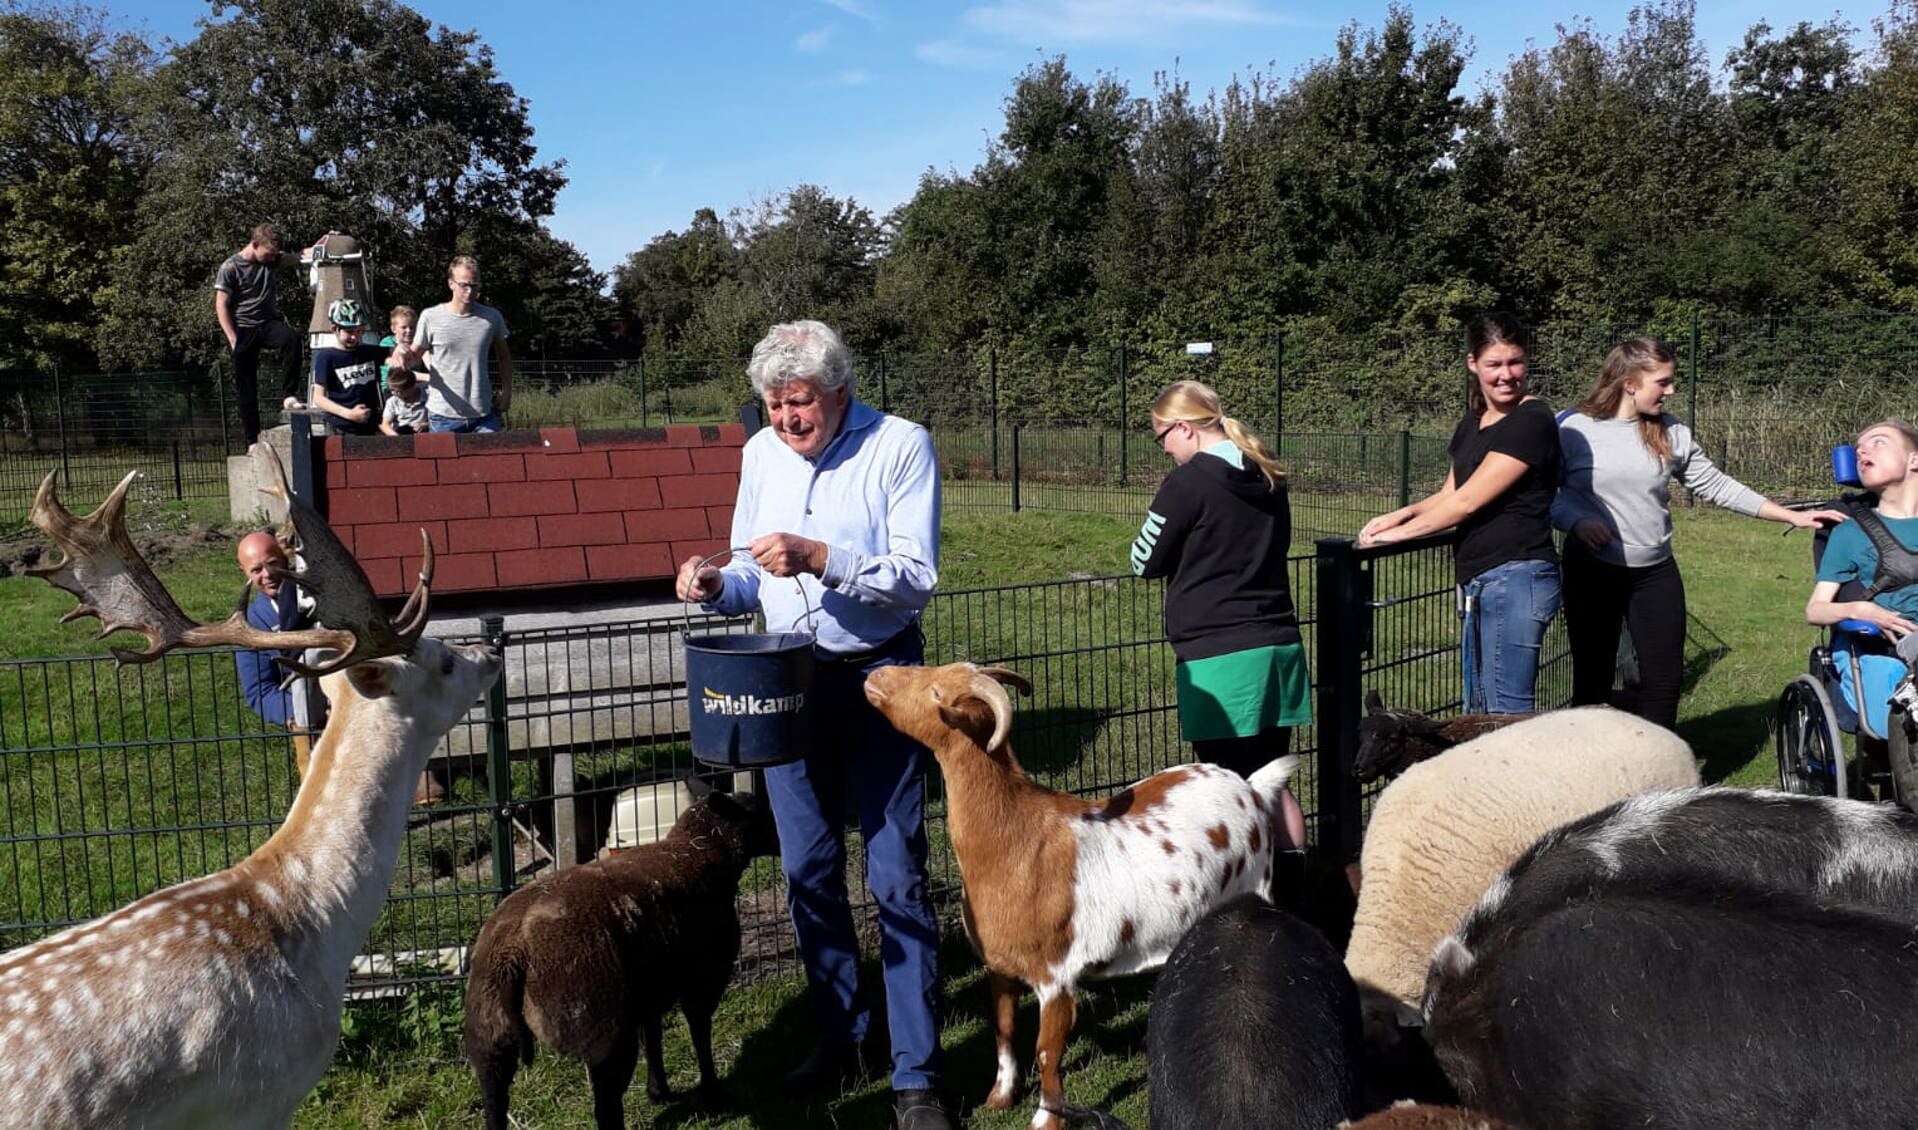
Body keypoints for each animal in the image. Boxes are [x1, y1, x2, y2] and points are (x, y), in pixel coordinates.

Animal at [870, 659, 1304, 1128]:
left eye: (935, 692)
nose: (876, 677)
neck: (1017, 840)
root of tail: (1252, 787)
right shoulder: (999, 965)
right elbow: (1003, 1029)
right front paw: (999, 1098)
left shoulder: (1057, 977)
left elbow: (1047, 1051)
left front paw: (1046, 1119)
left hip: (1255, 886)